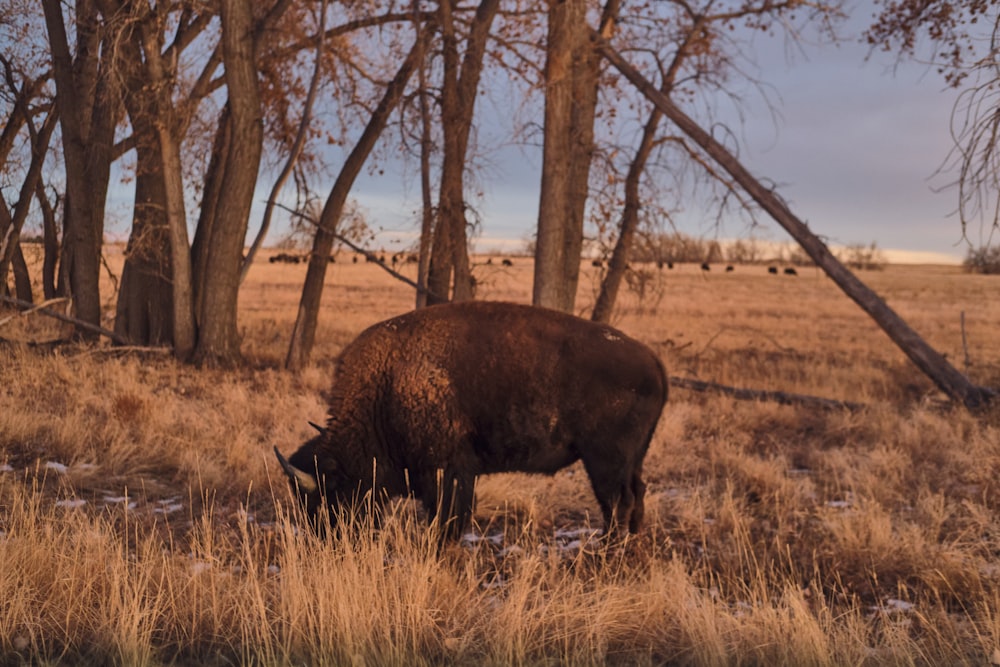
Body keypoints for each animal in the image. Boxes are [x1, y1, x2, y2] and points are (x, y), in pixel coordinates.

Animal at [274, 300, 668, 540]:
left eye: (327, 497)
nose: (327, 539)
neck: (387, 386)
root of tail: (653, 361)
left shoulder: (448, 474)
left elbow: (447, 519)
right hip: (630, 460)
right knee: (636, 494)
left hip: (605, 460)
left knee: (617, 501)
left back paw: (607, 553)